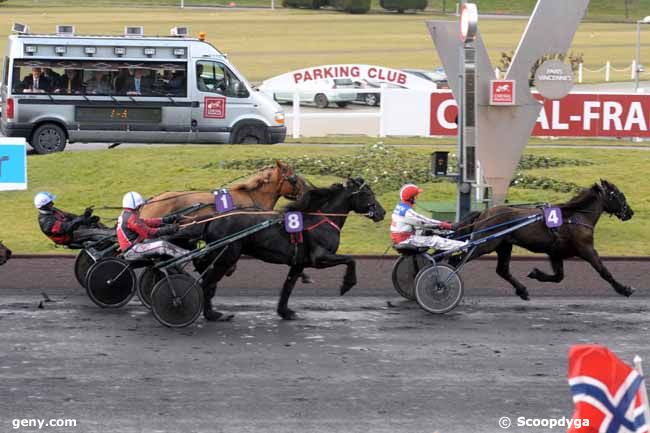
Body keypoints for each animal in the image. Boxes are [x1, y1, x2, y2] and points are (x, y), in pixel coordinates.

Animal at [181, 176, 384, 320]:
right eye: (368, 194)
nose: (382, 212)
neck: (321, 220)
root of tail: (213, 218)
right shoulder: (319, 258)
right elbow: (351, 259)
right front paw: (346, 285)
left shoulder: (299, 263)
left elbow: (288, 287)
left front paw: (285, 312)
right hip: (226, 257)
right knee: (206, 283)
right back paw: (210, 314)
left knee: (204, 273)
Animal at [450, 179, 632, 300]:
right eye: (619, 195)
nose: (630, 212)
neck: (576, 216)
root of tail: (484, 213)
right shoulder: (586, 249)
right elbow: (603, 271)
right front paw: (624, 289)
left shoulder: (556, 253)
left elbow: (559, 277)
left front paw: (536, 273)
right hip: (485, 244)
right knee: (457, 259)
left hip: (504, 246)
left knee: (502, 270)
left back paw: (522, 290)